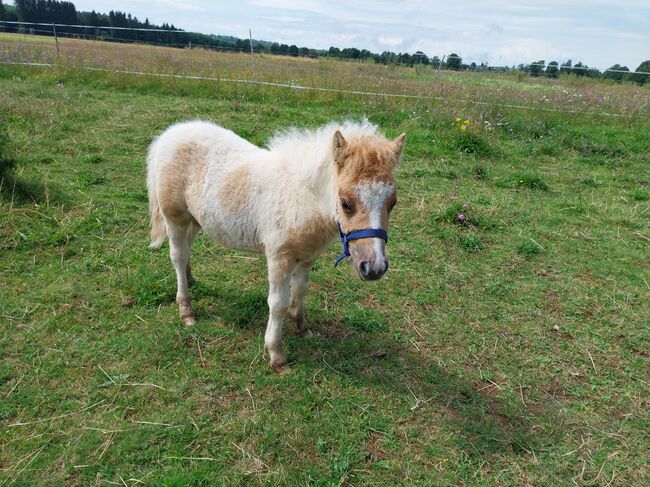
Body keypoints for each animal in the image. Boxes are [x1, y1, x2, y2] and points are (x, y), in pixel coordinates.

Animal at [146, 120, 404, 372]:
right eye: (345, 203)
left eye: (392, 203)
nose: (374, 268)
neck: (302, 197)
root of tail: (169, 134)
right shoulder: (280, 257)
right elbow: (277, 303)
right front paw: (276, 354)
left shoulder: (308, 256)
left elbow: (300, 290)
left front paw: (302, 328)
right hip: (175, 218)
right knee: (178, 256)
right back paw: (186, 310)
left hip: (196, 219)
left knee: (187, 249)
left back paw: (190, 279)